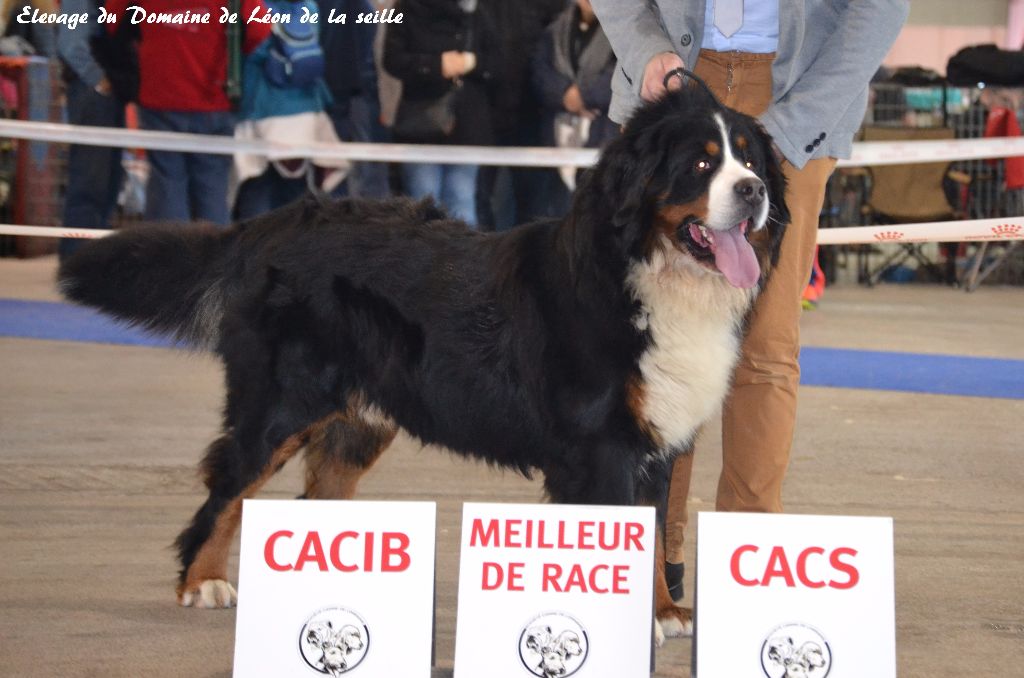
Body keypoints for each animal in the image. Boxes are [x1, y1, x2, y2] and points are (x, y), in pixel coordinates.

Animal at [56, 83, 786, 643]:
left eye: (750, 159)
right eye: (700, 165)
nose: (754, 192)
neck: (650, 275)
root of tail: (277, 220)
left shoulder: (658, 441)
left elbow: (657, 530)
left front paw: (664, 613)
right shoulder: (600, 446)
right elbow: (626, 534)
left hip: (356, 422)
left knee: (315, 498)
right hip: (283, 403)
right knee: (228, 485)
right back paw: (201, 581)